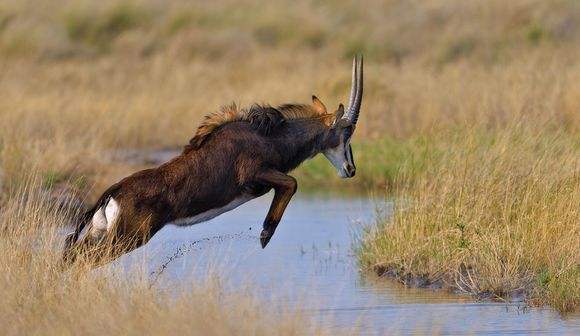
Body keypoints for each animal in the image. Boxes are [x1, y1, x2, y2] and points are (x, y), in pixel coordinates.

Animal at [63, 55, 362, 266]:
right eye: (346, 131)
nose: (351, 169)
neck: (269, 135)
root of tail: (112, 191)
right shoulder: (254, 176)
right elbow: (292, 182)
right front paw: (265, 235)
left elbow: (290, 183)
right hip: (127, 238)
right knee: (83, 262)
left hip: (100, 234)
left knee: (71, 256)